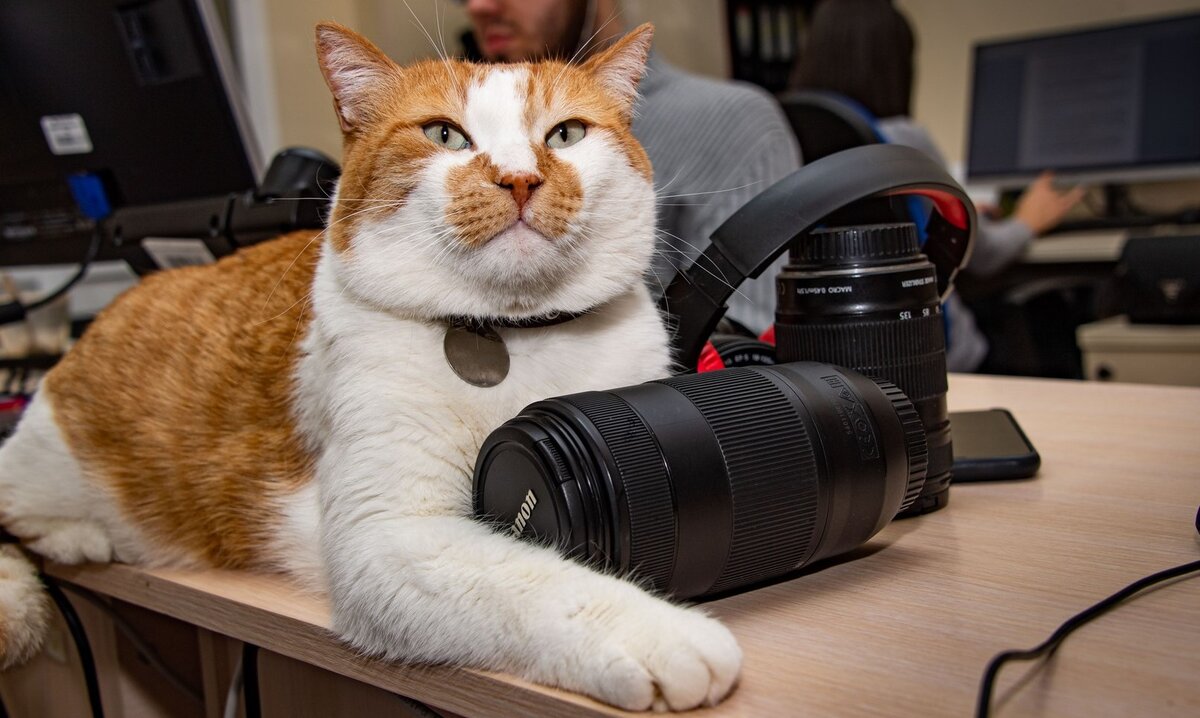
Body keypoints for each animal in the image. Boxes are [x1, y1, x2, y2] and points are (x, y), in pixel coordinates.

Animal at [0, 21, 742, 711]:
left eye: (566, 134)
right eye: (445, 134)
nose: (520, 178)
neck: (513, 337)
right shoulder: (389, 544)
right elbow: (540, 580)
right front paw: (663, 634)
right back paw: (68, 549)